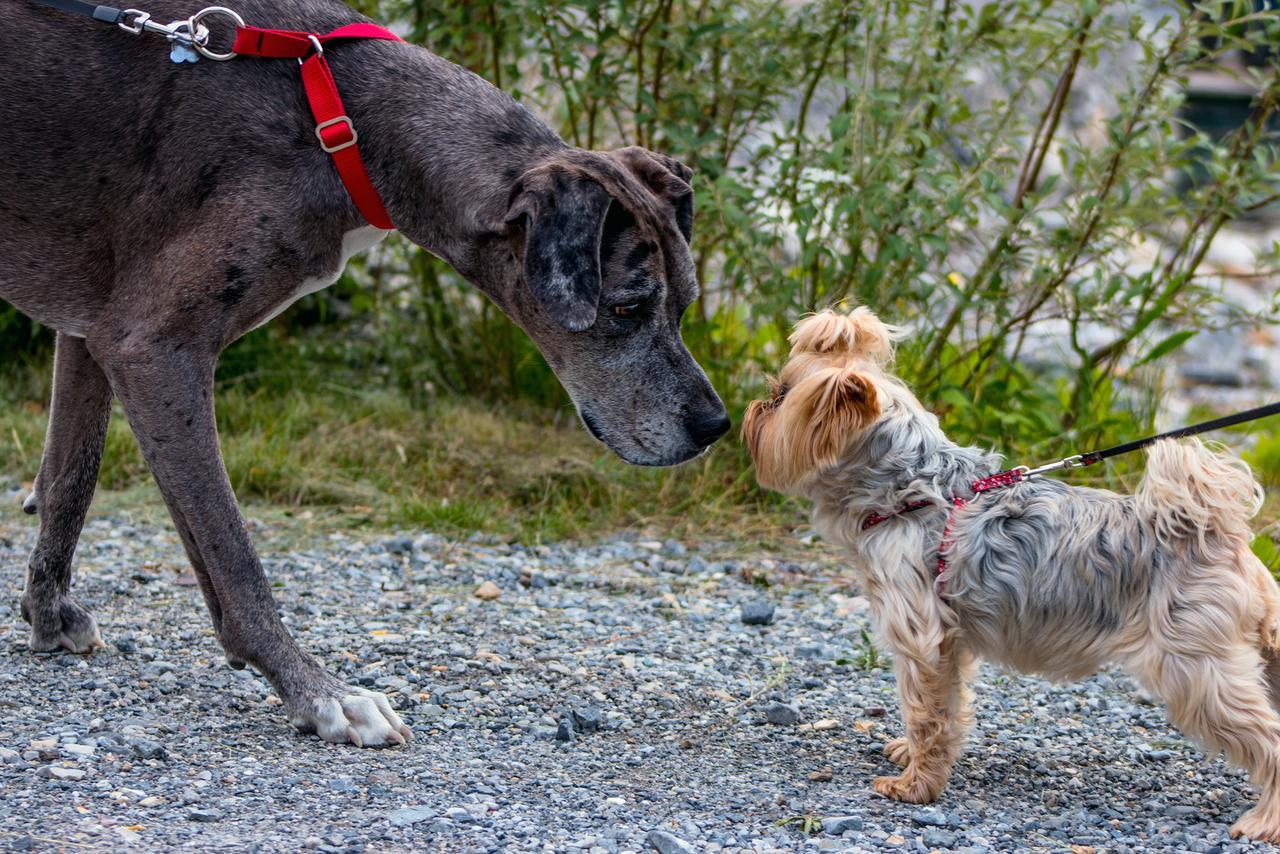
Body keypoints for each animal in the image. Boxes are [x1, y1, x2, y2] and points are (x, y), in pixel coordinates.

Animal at [0, 0, 727, 747]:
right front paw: (318, 693)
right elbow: (233, 554)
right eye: (627, 307)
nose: (716, 425)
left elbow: (71, 482)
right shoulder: (151, 346)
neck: (337, 119)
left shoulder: (94, 330)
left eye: (687, 302)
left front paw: (48, 614)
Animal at [747, 307, 1280, 839]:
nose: (753, 407)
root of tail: (1218, 533)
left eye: (781, 395)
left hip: (1194, 670)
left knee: (1268, 737)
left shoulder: (922, 639)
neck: (914, 489)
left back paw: (1262, 821)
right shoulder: (951, 644)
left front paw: (915, 786)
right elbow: (948, 707)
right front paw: (914, 758)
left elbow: (925, 711)